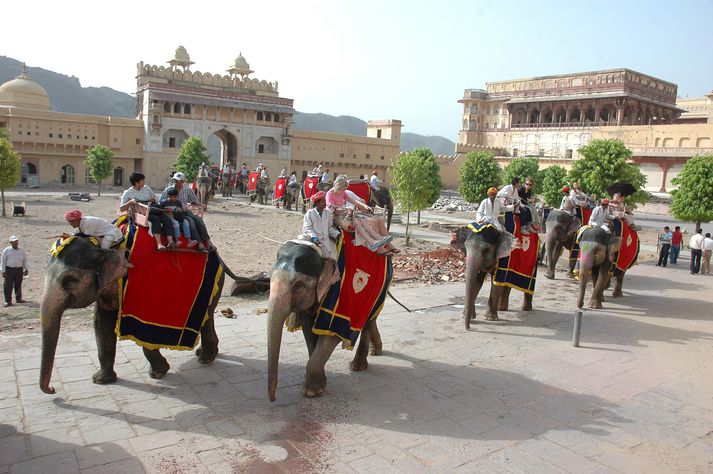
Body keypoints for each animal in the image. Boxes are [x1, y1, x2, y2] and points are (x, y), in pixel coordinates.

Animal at [39, 237, 238, 396]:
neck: (105, 247)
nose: (53, 390)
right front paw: (101, 380)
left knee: (207, 317)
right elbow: (101, 324)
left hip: (212, 285)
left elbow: (140, 327)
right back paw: (205, 354)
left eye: (68, 280)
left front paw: (158, 372)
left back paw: (204, 358)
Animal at [264, 241, 382, 400]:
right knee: (371, 320)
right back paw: (376, 351)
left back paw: (357, 366)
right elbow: (308, 330)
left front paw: (311, 392)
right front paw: (321, 383)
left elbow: (331, 336)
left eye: (298, 285)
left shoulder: (341, 300)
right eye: (269, 279)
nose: (273, 398)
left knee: (368, 321)